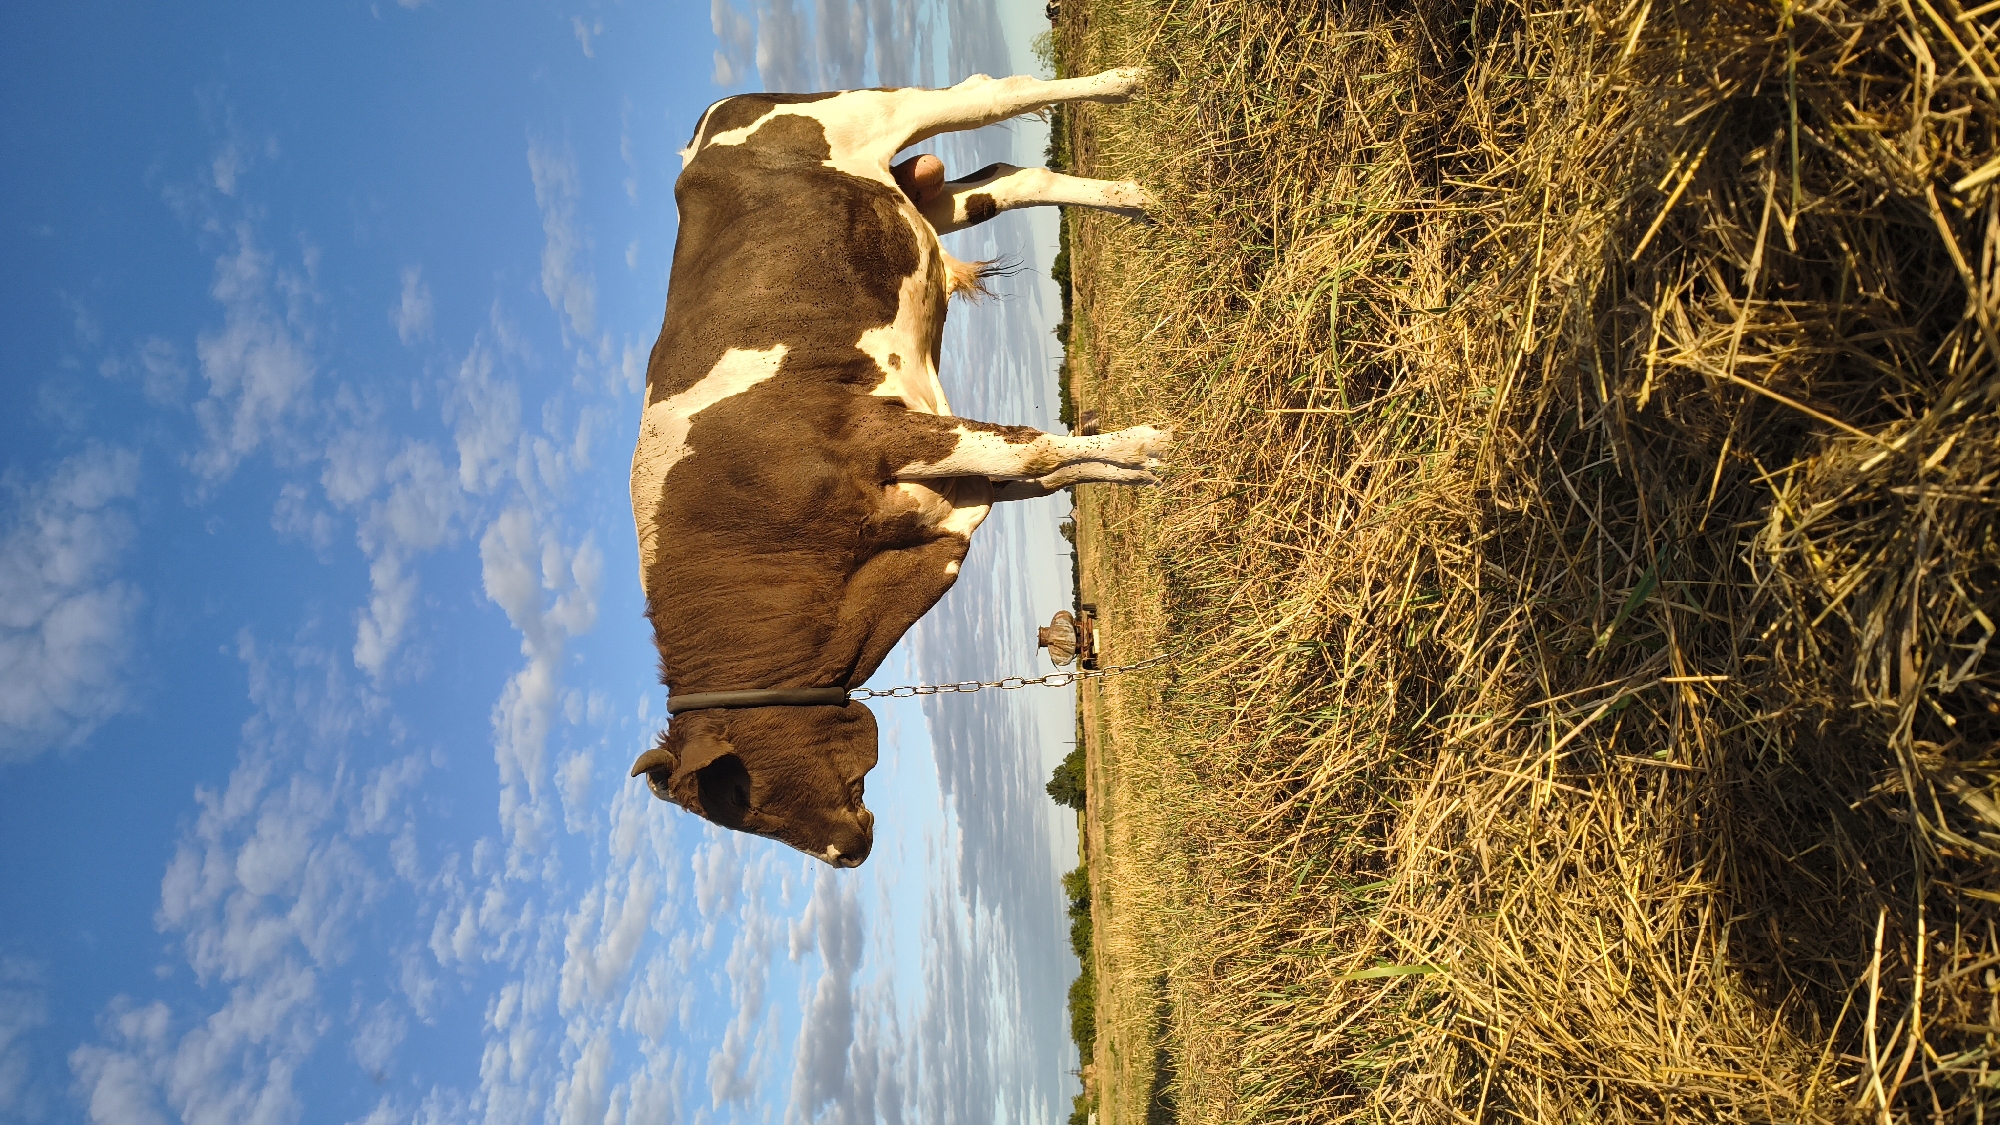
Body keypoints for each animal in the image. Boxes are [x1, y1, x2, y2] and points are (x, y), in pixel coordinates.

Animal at [627, 69, 1170, 868]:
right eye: (748, 820)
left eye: (745, 796)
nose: (849, 853)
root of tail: (707, 125)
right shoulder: (955, 488)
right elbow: (1053, 467)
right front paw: (1141, 474)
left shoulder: (880, 433)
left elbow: (1035, 445)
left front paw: (1155, 444)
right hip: (916, 200)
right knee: (1008, 180)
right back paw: (1135, 198)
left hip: (872, 114)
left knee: (990, 91)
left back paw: (1123, 87)